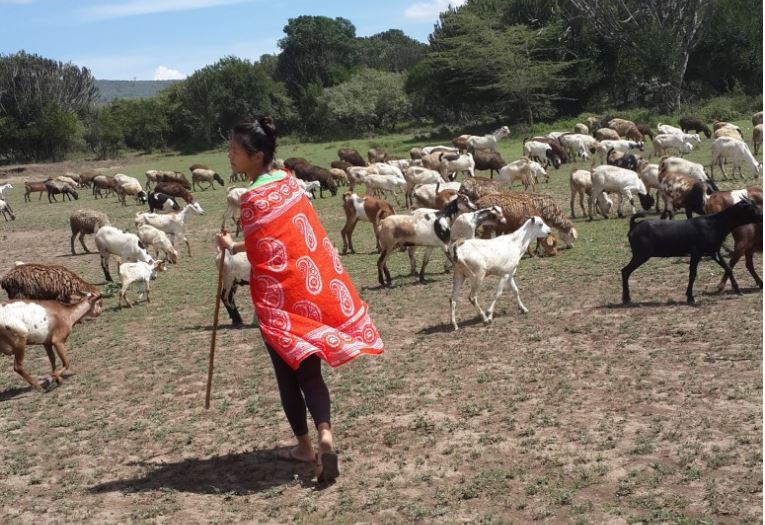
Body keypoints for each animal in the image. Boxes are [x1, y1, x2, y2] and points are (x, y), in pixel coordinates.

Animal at [620, 198, 764, 302]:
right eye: (751, 208)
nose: (762, 215)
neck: (714, 224)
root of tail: (634, 226)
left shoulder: (713, 252)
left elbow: (728, 268)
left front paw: (738, 290)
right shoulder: (696, 252)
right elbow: (693, 274)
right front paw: (690, 297)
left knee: (625, 271)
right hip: (641, 254)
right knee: (625, 271)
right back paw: (626, 298)